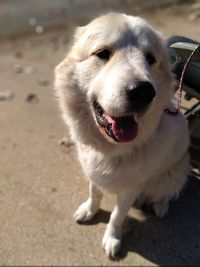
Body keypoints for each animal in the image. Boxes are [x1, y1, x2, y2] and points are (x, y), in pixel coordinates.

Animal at [54, 13, 189, 260]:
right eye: (102, 53)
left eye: (150, 58)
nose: (143, 92)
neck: (112, 148)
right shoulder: (93, 172)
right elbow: (94, 193)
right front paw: (89, 210)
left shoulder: (131, 189)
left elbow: (117, 216)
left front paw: (112, 239)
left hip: (172, 175)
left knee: (165, 193)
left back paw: (161, 207)